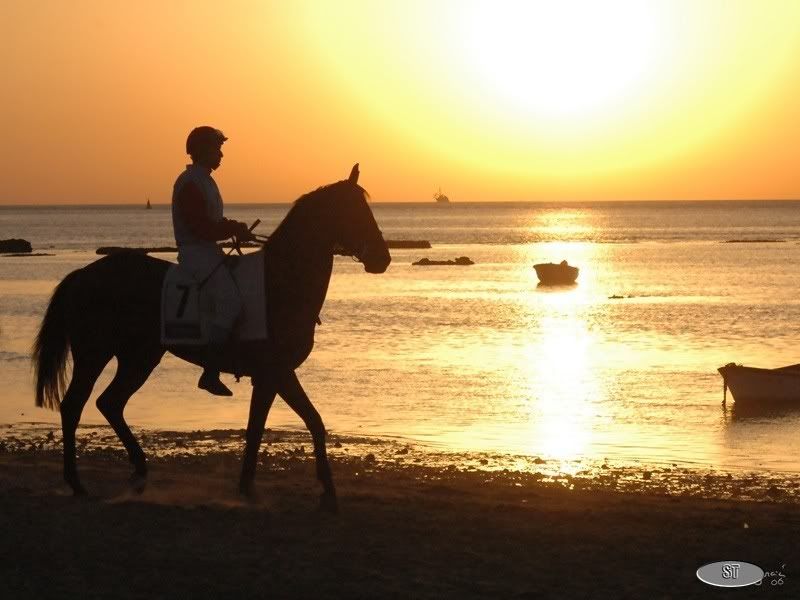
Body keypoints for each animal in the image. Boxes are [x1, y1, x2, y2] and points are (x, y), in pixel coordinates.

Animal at [32, 164, 390, 510]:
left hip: (139, 358)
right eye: (355, 211)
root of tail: (84, 274)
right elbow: (301, 422)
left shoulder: (271, 377)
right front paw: (320, 492)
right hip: (95, 354)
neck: (279, 282)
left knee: (110, 403)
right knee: (74, 406)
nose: (383, 258)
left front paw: (254, 490)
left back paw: (139, 472)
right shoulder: (277, 372)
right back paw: (78, 483)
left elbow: (269, 427)